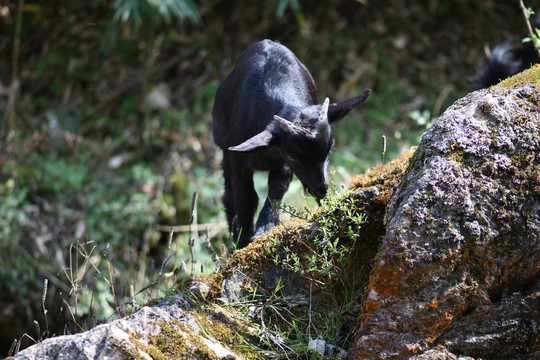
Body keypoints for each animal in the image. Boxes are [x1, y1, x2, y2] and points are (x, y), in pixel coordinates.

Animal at [211, 39, 372, 248]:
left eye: (330, 149)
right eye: (293, 156)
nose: (321, 188)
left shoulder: (282, 162)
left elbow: (277, 188)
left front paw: (264, 229)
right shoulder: (241, 159)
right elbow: (246, 198)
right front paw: (243, 239)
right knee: (229, 196)